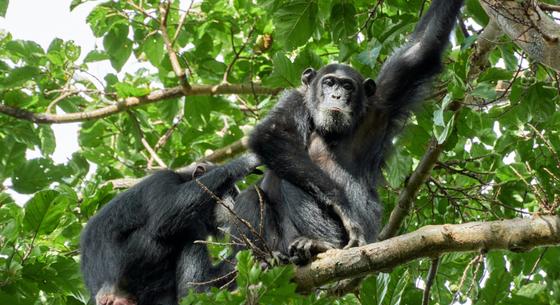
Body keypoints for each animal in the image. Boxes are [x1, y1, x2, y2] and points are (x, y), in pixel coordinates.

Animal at [80, 154, 260, 304]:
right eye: (230, 191)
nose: (235, 202)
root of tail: (105, 293)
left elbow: (208, 277)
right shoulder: (161, 180)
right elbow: (165, 214)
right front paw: (244, 162)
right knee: (184, 233)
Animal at [233, 0, 464, 262]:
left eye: (347, 86)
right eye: (329, 82)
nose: (336, 96)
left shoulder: (383, 102)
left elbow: (421, 49)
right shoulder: (295, 99)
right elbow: (272, 134)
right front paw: (342, 206)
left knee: (293, 184)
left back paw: (320, 245)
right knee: (255, 193)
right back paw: (268, 259)